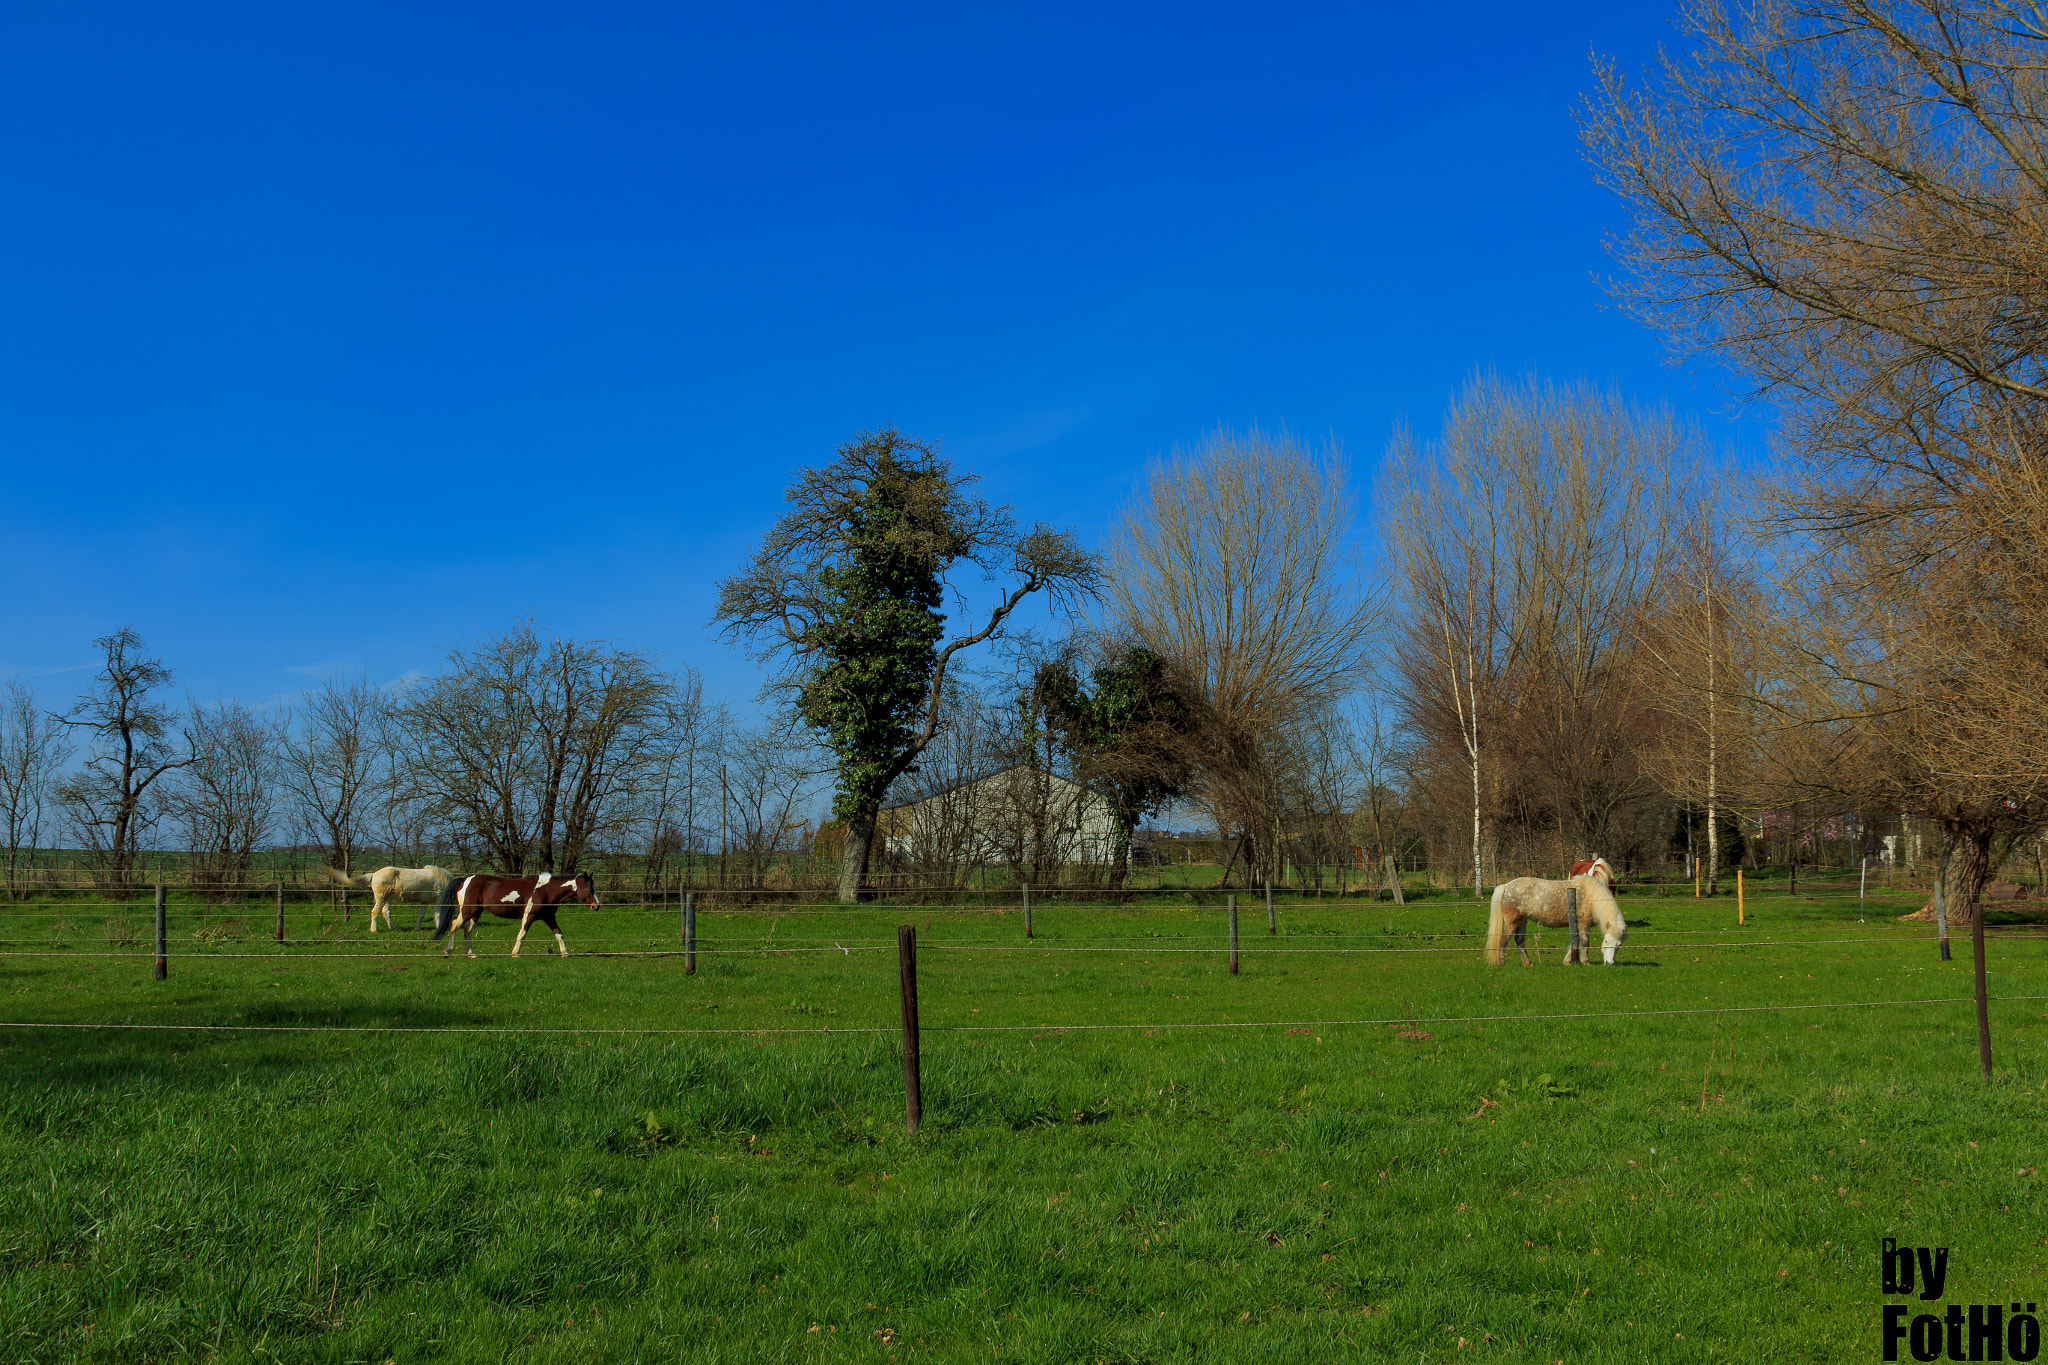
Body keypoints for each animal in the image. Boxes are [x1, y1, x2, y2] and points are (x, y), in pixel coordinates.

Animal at [319, 871, 460, 933]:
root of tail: (374, 874)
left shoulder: (425, 902)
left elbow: (421, 915)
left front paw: (418, 928)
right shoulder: (437, 899)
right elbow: (438, 915)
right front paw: (439, 927)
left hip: (385, 899)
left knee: (385, 912)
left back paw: (393, 928)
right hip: (381, 898)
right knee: (375, 912)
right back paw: (374, 930)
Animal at [428, 875, 598, 961]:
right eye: (590, 889)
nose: (597, 906)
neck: (546, 890)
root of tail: (465, 880)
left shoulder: (548, 917)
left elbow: (559, 933)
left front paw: (565, 953)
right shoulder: (529, 916)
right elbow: (522, 934)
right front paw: (515, 953)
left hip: (476, 913)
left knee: (467, 930)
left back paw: (471, 954)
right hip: (468, 911)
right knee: (454, 925)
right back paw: (448, 951)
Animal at [1482, 871, 1622, 965]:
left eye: (1619, 945)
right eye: (1606, 942)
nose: (1609, 963)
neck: (1592, 897)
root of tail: (1507, 886)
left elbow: (1574, 941)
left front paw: (1568, 961)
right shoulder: (1584, 924)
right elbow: (1584, 942)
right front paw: (1586, 962)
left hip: (1522, 921)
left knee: (1519, 941)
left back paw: (1528, 963)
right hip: (1512, 922)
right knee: (1503, 941)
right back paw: (1501, 963)